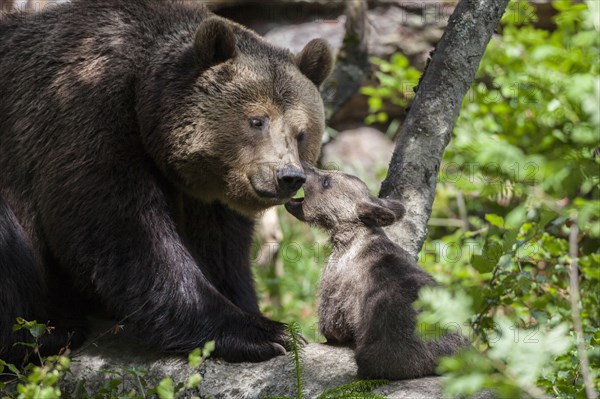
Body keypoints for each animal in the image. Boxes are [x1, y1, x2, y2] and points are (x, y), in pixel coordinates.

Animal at [0, 0, 332, 366]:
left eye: (301, 132)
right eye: (256, 120)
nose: (288, 176)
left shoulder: (206, 194)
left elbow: (222, 249)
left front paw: (252, 309)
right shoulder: (84, 118)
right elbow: (126, 232)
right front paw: (262, 332)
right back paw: (48, 332)